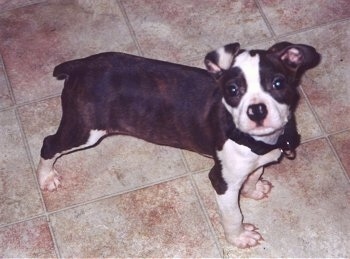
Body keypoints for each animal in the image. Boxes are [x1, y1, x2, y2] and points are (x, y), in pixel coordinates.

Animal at [37, 41, 320, 249]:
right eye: (232, 90)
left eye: (278, 83)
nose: (257, 110)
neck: (259, 141)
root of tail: (81, 65)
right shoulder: (222, 180)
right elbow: (233, 215)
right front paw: (240, 237)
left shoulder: (254, 162)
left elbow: (255, 172)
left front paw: (254, 188)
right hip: (85, 130)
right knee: (49, 144)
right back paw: (46, 177)